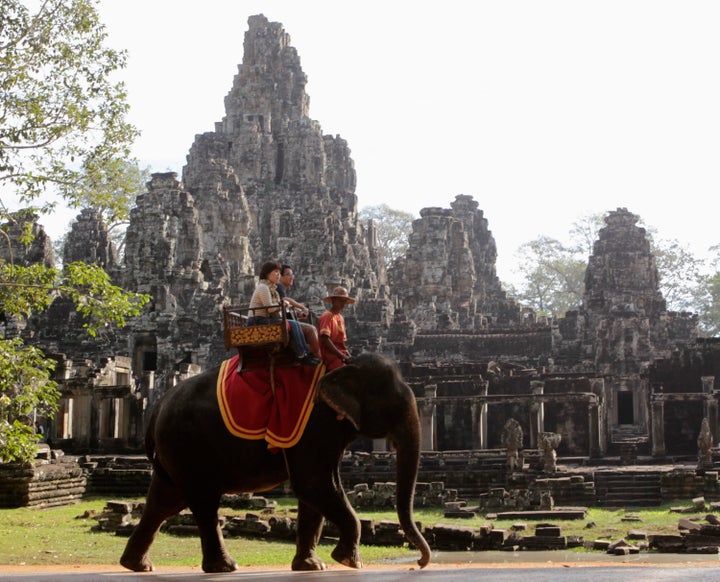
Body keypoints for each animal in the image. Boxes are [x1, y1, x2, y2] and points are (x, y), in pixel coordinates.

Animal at [120, 354, 430, 572]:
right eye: (393, 404)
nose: (420, 562)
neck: (342, 363)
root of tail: (158, 406)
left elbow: (314, 493)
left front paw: (312, 566)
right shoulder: (316, 424)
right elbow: (313, 483)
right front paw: (348, 561)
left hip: (175, 451)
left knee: (164, 501)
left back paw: (137, 565)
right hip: (187, 444)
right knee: (203, 502)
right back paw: (224, 566)